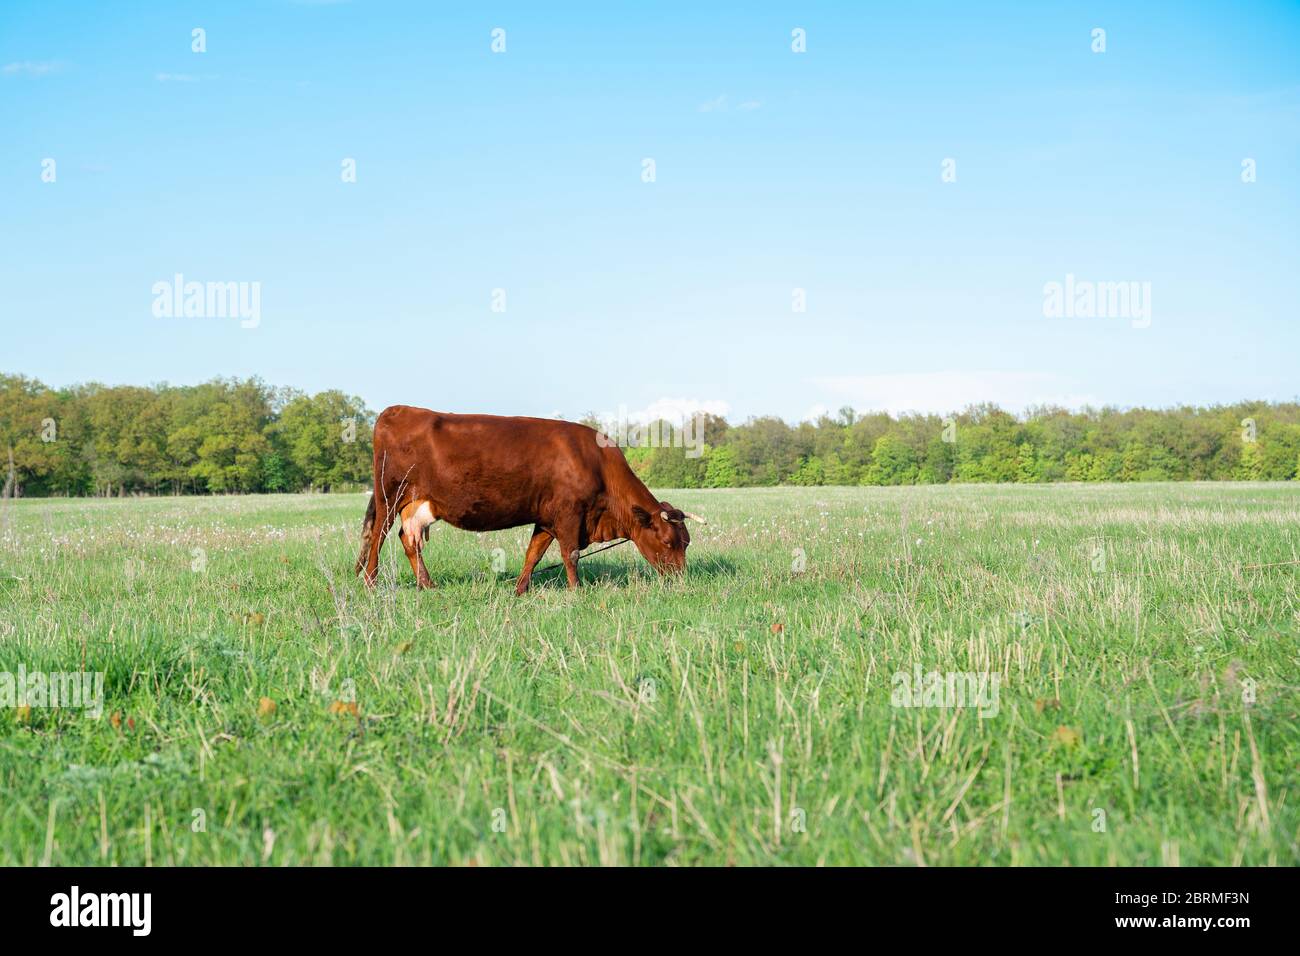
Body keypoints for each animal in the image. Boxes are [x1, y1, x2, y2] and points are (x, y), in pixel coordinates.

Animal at [353, 405, 705, 593]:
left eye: (686, 542)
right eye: (668, 541)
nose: (681, 579)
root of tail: (397, 410)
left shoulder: (547, 518)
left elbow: (533, 555)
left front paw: (520, 589)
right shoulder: (569, 514)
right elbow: (570, 554)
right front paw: (577, 591)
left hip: (417, 503)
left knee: (408, 539)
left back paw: (427, 584)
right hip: (389, 495)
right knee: (378, 537)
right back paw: (371, 583)